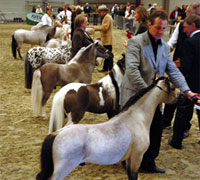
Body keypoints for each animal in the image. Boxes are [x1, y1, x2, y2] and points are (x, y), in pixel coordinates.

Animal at [36, 77, 183, 180]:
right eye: (173, 87)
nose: (183, 96)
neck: (136, 119)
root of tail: (56, 134)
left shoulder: (129, 159)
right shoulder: (137, 157)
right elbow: (133, 176)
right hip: (62, 169)